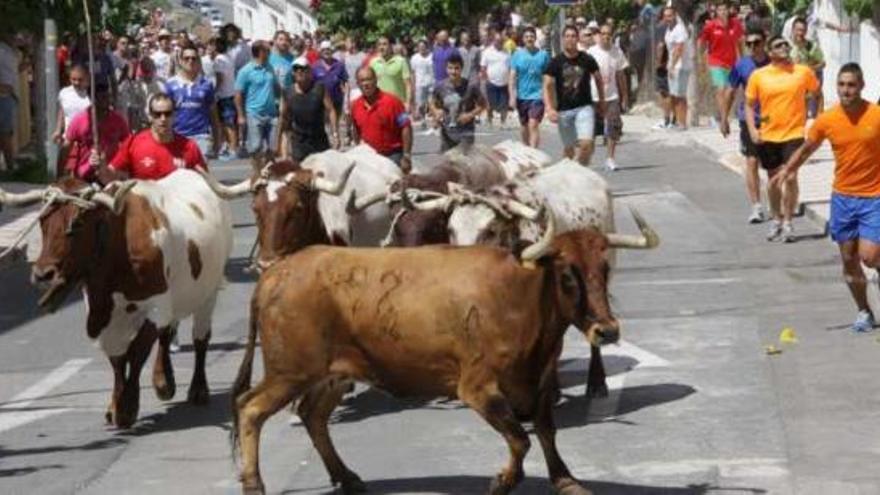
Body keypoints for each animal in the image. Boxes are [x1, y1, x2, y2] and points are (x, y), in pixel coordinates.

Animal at [230, 230, 608, 495]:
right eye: (567, 276)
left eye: (605, 269)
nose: (607, 330)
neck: (519, 296)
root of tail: (278, 272)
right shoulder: (477, 388)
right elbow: (520, 438)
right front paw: (503, 480)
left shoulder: (540, 381)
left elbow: (545, 431)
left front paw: (566, 479)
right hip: (289, 372)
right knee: (250, 408)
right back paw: (254, 483)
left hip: (332, 373)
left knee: (312, 415)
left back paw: (346, 477)